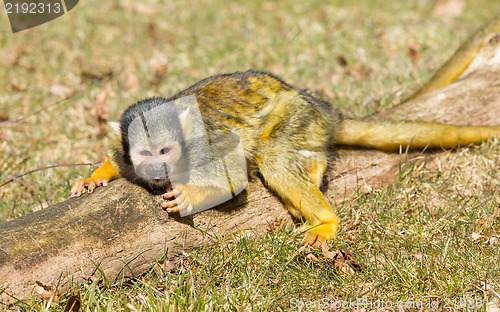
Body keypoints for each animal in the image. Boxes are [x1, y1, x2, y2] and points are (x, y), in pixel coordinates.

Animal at [71, 14, 500, 244]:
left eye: (166, 152)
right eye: (145, 154)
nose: (158, 170)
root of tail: (322, 107)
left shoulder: (202, 145)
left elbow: (232, 177)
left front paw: (190, 195)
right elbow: (116, 157)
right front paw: (95, 176)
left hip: (295, 114)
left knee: (275, 157)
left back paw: (326, 219)